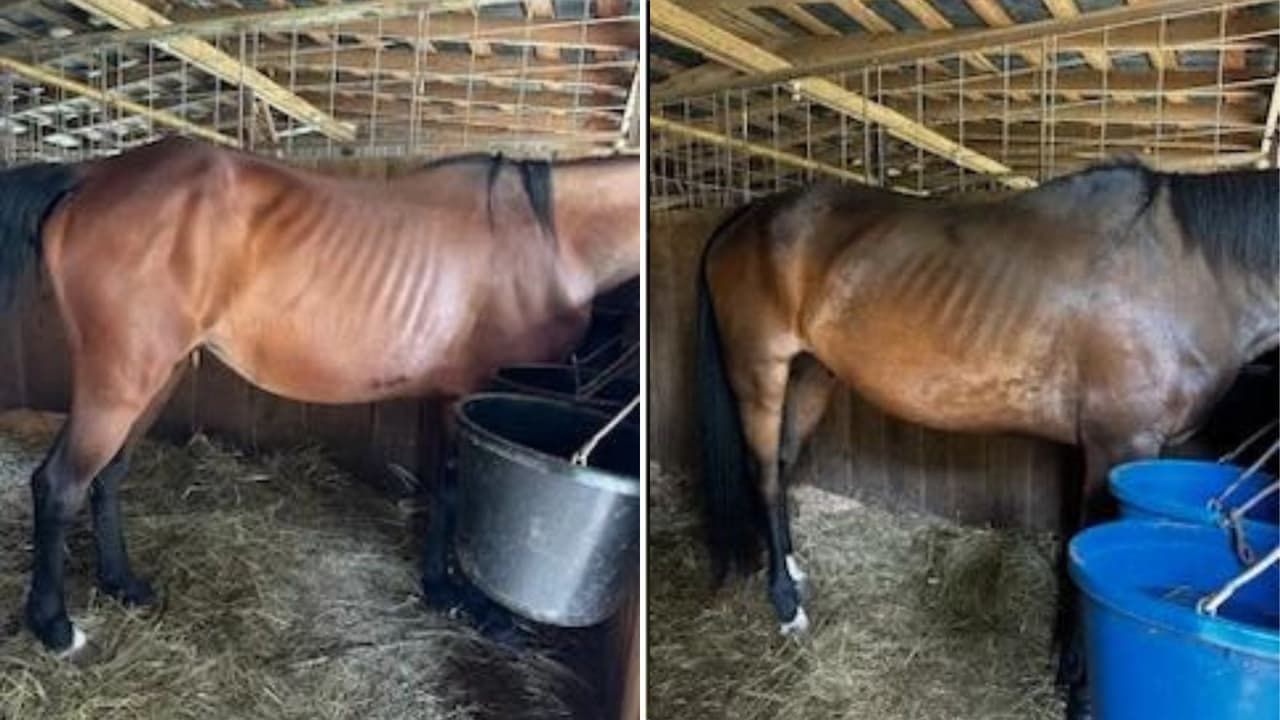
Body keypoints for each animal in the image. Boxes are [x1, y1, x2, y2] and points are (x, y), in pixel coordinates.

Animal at [0, 136, 641, 658]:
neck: (550, 240)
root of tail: (93, 173)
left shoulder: (447, 398)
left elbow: (445, 487)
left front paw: (442, 589)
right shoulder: (473, 390)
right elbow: (458, 491)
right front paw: (472, 605)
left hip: (157, 377)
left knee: (107, 476)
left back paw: (123, 585)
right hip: (122, 382)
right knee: (59, 484)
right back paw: (56, 628)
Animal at [694, 162, 1278, 688]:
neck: (1188, 272)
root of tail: (746, 217)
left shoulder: (1092, 448)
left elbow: (1075, 543)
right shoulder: (1119, 443)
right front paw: (1074, 670)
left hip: (813, 372)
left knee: (783, 464)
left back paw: (793, 571)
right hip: (759, 372)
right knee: (765, 475)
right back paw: (786, 606)